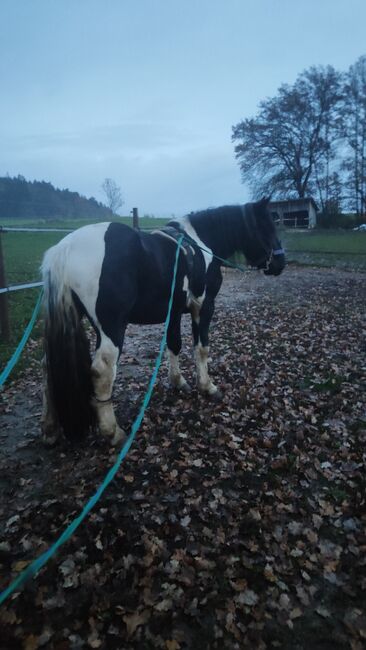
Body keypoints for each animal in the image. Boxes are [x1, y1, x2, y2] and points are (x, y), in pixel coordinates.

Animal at [40, 196, 286, 446]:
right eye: (266, 226)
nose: (280, 262)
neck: (201, 245)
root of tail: (65, 249)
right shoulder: (203, 307)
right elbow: (201, 348)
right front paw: (207, 386)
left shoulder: (174, 311)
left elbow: (174, 344)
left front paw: (178, 381)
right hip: (111, 328)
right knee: (102, 371)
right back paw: (112, 431)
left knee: (48, 366)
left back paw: (50, 430)